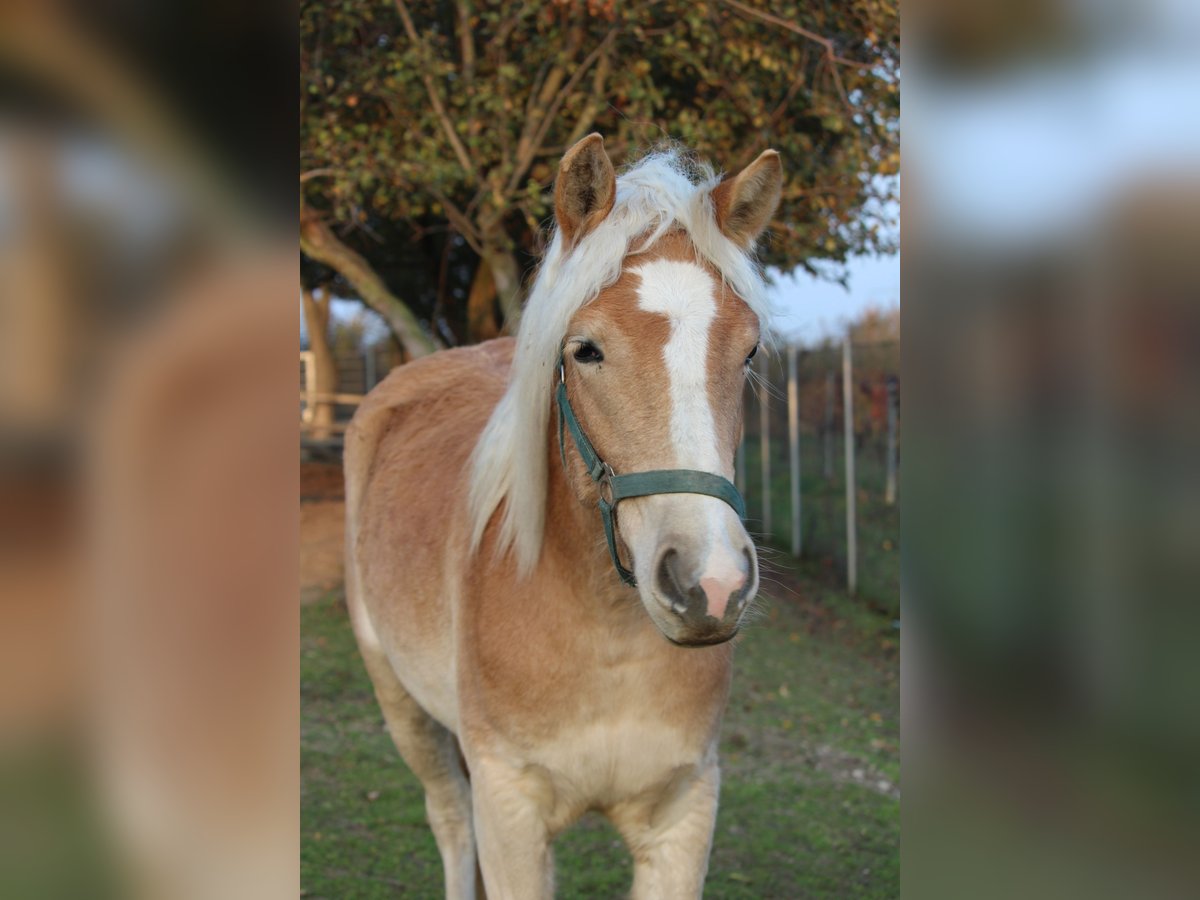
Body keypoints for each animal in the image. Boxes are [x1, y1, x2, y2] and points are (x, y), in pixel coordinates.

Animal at [343, 135, 782, 900]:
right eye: (586, 350)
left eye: (749, 350)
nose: (711, 585)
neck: (605, 635)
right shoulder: (510, 817)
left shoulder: (683, 815)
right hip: (404, 708)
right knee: (450, 822)